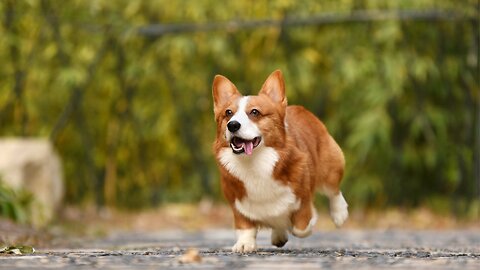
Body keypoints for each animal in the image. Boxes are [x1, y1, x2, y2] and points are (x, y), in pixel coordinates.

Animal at [212, 70, 346, 253]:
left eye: (255, 112)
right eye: (228, 113)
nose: (232, 125)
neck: (254, 163)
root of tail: (299, 108)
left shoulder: (303, 198)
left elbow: (301, 227)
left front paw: (307, 222)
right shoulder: (236, 202)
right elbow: (245, 226)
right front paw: (245, 243)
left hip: (330, 168)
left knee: (333, 190)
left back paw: (340, 214)